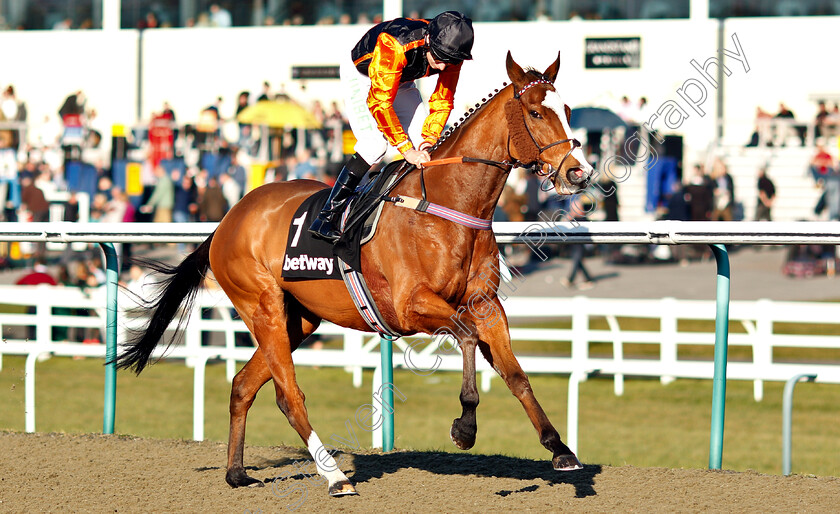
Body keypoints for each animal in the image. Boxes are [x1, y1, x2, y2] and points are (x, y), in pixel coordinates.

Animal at [118, 51, 592, 492]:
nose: (578, 172)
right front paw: (465, 427)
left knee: (242, 385)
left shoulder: (487, 305)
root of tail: (226, 221)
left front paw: (560, 448)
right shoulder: (411, 306)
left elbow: (515, 374)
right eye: (536, 112)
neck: (447, 206)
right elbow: (466, 336)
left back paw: (236, 472)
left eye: (569, 110)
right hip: (262, 306)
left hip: (299, 318)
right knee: (288, 395)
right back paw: (334, 476)